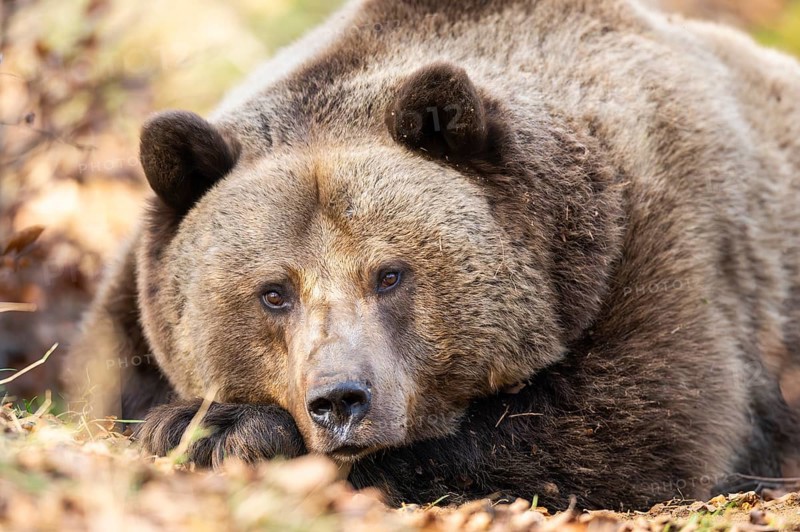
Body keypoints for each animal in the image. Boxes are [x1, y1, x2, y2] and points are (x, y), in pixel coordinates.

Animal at [65, 0, 800, 511]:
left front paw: (234, 432)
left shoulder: (649, 244)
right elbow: (112, 376)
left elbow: (635, 423)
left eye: (389, 274)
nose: (340, 400)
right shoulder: (140, 285)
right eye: (274, 291)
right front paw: (195, 424)